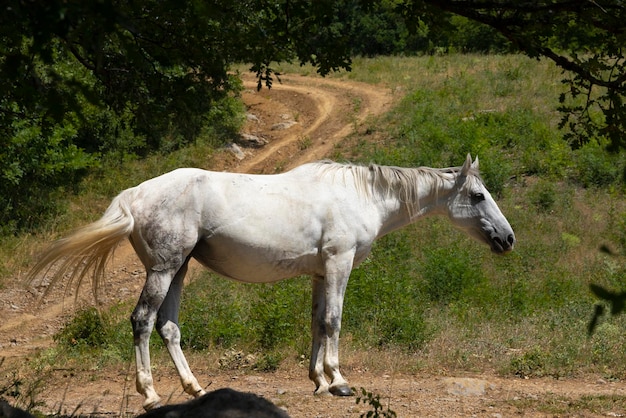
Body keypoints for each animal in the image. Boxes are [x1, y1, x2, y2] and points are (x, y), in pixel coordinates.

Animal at [28, 153, 512, 408]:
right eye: (477, 195)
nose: (507, 239)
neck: (362, 195)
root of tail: (135, 194)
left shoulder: (320, 272)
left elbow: (317, 323)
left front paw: (318, 380)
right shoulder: (339, 265)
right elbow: (334, 322)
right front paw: (338, 381)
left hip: (178, 270)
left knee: (168, 327)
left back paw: (194, 387)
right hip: (163, 270)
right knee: (143, 322)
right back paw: (150, 395)